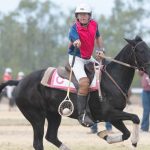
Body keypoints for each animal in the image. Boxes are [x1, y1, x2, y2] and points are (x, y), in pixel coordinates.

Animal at [0, 35, 150, 149]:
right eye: (140, 50)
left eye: (147, 48)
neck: (111, 79)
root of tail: (20, 82)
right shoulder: (109, 113)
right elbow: (135, 118)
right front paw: (134, 141)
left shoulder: (113, 115)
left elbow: (126, 132)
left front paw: (105, 135)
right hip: (36, 117)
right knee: (38, 142)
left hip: (54, 114)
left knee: (51, 136)